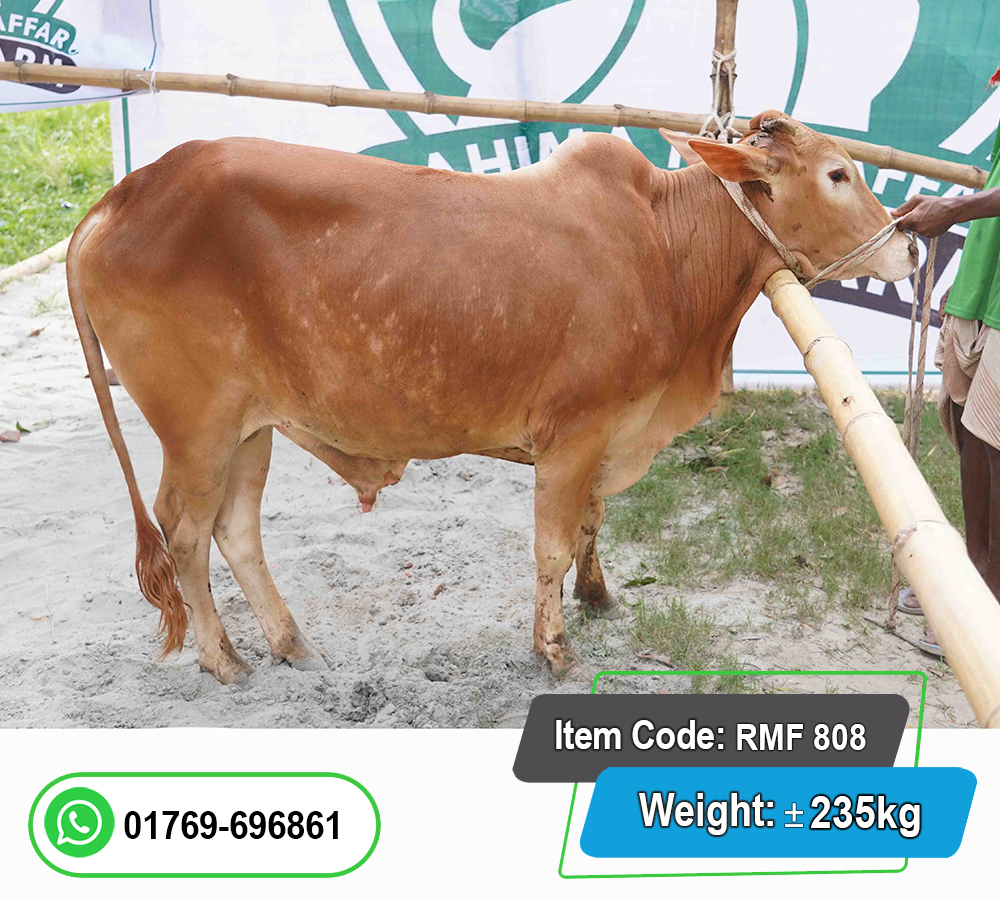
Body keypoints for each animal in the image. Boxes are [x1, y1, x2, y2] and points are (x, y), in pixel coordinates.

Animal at [66, 110, 916, 683]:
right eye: (838, 175)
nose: (909, 246)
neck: (666, 249)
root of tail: (121, 197)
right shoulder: (573, 434)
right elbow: (551, 544)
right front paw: (554, 648)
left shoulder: (605, 435)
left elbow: (591, 523)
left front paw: (598, 597)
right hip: (198, 429)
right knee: (184, 533)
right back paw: (224, 658)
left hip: (252, 429)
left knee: (235, 531)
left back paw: (289, 641)